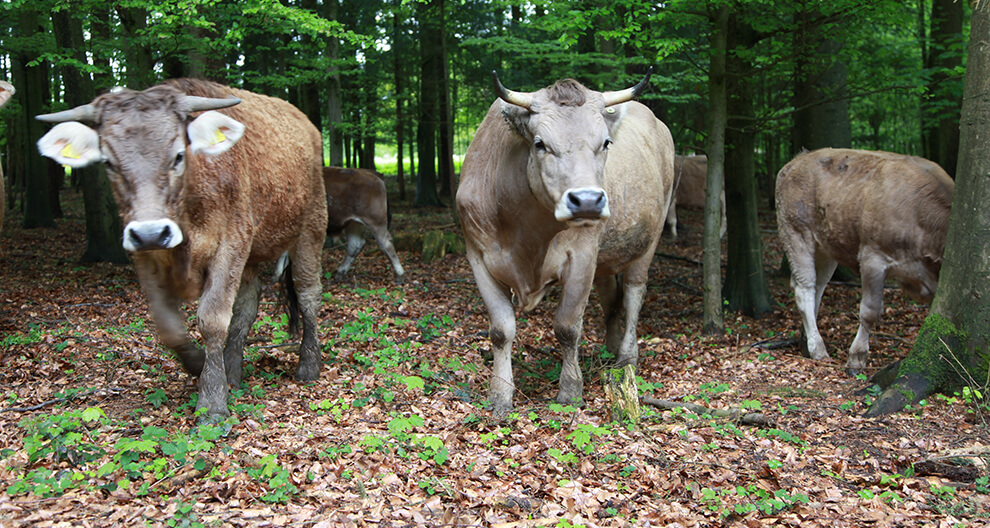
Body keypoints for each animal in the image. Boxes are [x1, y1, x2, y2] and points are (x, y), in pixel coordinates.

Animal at [36, 78, 327, 422]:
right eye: (108, 163)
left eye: (177, 156)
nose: (150, 232)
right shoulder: (145, 255)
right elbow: (168, 326)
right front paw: (202, 366)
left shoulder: (231, 243)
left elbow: (212, 319)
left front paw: (212, 401)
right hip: (252, 252)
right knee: (247, 304)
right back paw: (232, 369)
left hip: (310, 225)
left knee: (307, 292)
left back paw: (308, 365)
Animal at [456, 71, 674, 412]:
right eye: (540, 143)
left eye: (606, 142)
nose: (587, 201)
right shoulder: (478, 255)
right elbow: (501, 330)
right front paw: (500, 394)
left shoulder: (582, 255)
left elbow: (568, 326)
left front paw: (570, 390)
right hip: (605, 257)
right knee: (612, 300)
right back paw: (609, 350)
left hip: (651, 236)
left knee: (634, 294)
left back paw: (626, 356)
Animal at [775, 148, 953, 373]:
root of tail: (797, 160)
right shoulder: (873, 257)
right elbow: (870, 311)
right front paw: (857, 357)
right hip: (796, 232)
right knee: (804, 288)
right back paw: (818, 348)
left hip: (826, 246)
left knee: (818, 287)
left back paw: (806, 342)